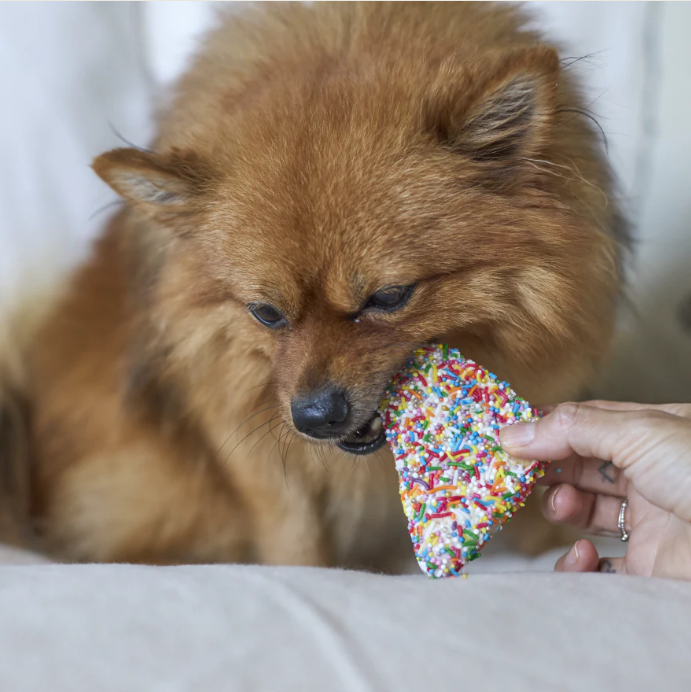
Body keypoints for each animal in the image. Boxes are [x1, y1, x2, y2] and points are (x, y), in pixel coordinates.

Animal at [0, 2, 628, 568]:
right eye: (265, 313)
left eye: (388, 298)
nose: (314, 416)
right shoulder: (242, 425)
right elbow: (291, 526)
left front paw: (552, 544)